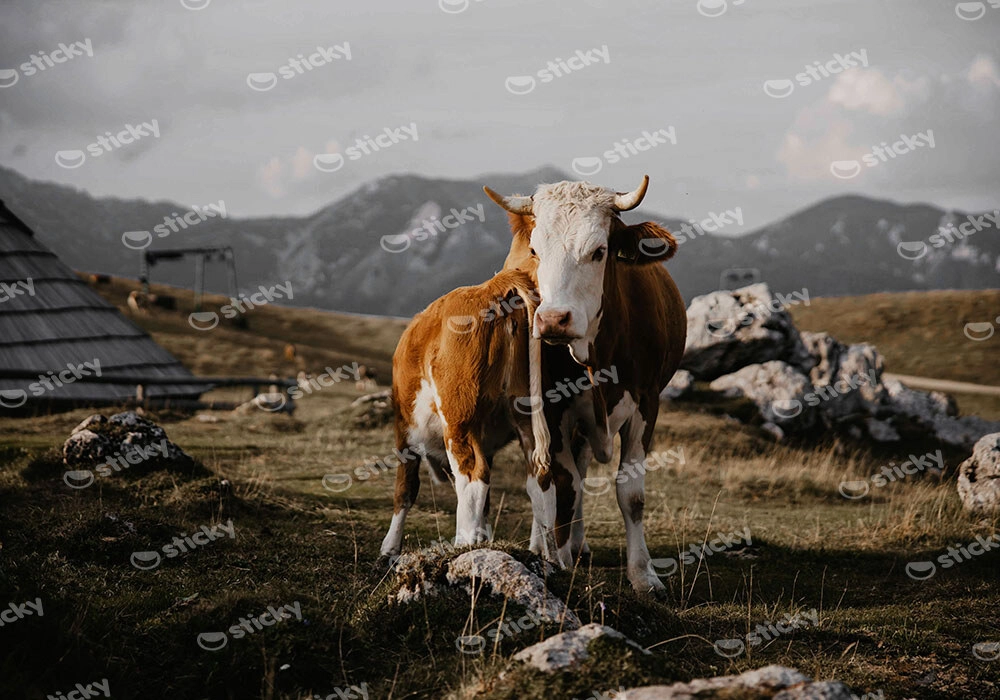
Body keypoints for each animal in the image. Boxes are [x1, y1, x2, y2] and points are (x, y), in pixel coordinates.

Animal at [380, 269, 551, 558]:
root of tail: (490, 287)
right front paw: (484, 536)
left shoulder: (404, 432)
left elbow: (405, 489)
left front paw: (389, 548)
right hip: (526, 416)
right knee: (538, 478)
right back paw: (544, 551)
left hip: (458, 418)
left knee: (473, 474)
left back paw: (463, 543)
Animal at [484, 175, 686, 594]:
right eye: (534, 250)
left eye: (599, 251)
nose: (552, 319)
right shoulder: (551, 408)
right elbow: (562, 483)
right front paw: (556, 559)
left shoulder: (647, 404)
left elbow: (631, 494)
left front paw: (644, 574)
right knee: (544, 479)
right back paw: (547, 544)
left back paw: (577, 543)